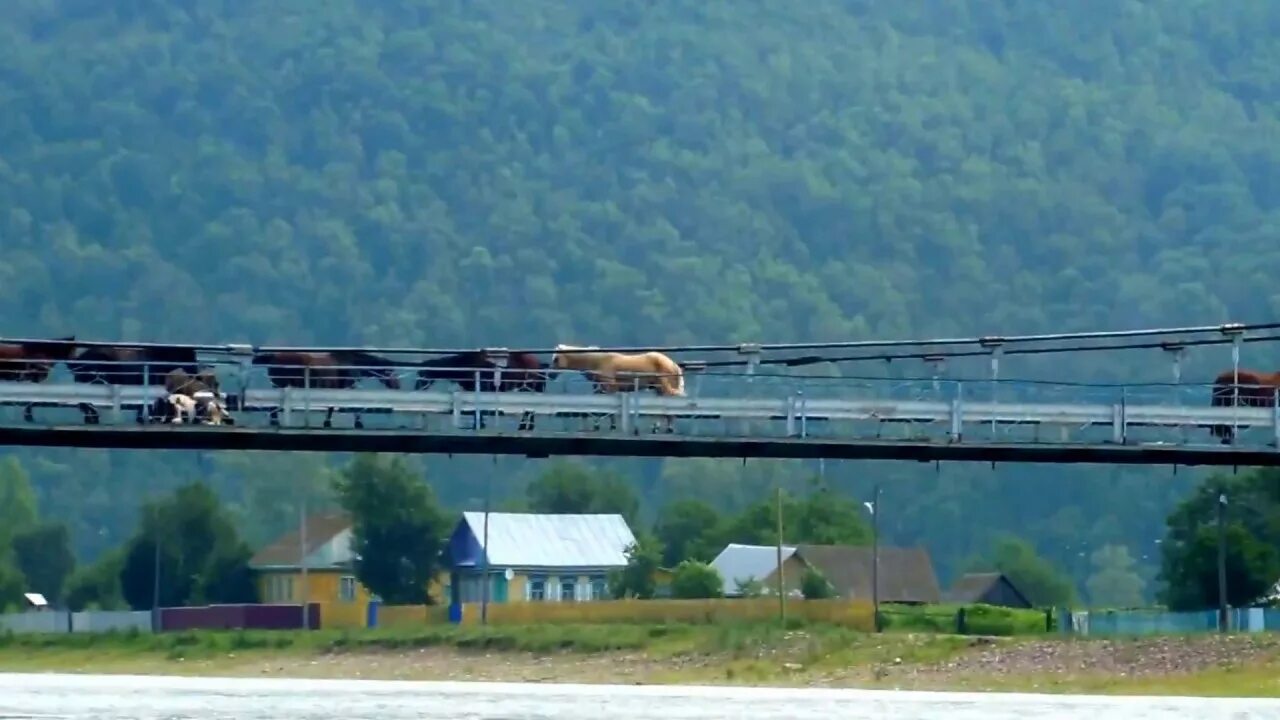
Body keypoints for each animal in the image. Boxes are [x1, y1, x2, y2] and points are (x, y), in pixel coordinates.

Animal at [252, 348, 401, 425]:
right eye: (392, 372)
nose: (397, 386)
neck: (350, 363)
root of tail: (273, 356)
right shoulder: (345, 388)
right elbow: (347, 406)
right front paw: (357, 422)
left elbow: (332, 407)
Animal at [414, 351, 545, 427]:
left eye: (421, 374)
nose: (416, 387)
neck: (463, 363)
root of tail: (538, 363)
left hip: (528, 387)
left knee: (529, 409)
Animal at [552, 343, 691, 430]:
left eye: (556, 358)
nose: (551, 375)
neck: (596, 361)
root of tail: (673, 364)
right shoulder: (601, 388)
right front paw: (596, 424)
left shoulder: (610, 387)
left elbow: (610, 409)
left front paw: (612, 426)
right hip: (658, 389)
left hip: (664, 387)